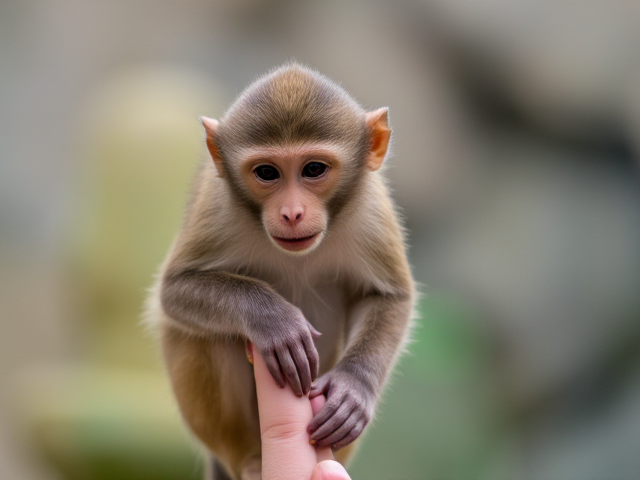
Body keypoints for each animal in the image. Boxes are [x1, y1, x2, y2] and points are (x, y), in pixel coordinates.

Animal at [145, 63, 416, 480]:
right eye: (267, 172)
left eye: (314, 169)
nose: (291, 213)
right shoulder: (219, 205)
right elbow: (173, 291)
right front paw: (274, 321)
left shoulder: (371, 208)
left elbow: (389, 296)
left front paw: (353, 386)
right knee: (209, 339)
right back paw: (250, 460)